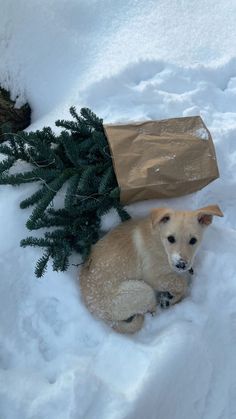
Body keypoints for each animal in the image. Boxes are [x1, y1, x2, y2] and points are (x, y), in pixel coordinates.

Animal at [79, 205, 223, 334]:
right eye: (171, 239)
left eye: (193, 240)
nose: (181, 264)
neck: (160, 240)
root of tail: (98, 313)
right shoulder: (153, 276)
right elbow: (182, 283)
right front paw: (172, 297)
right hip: (142, 290)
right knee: (152, 310)